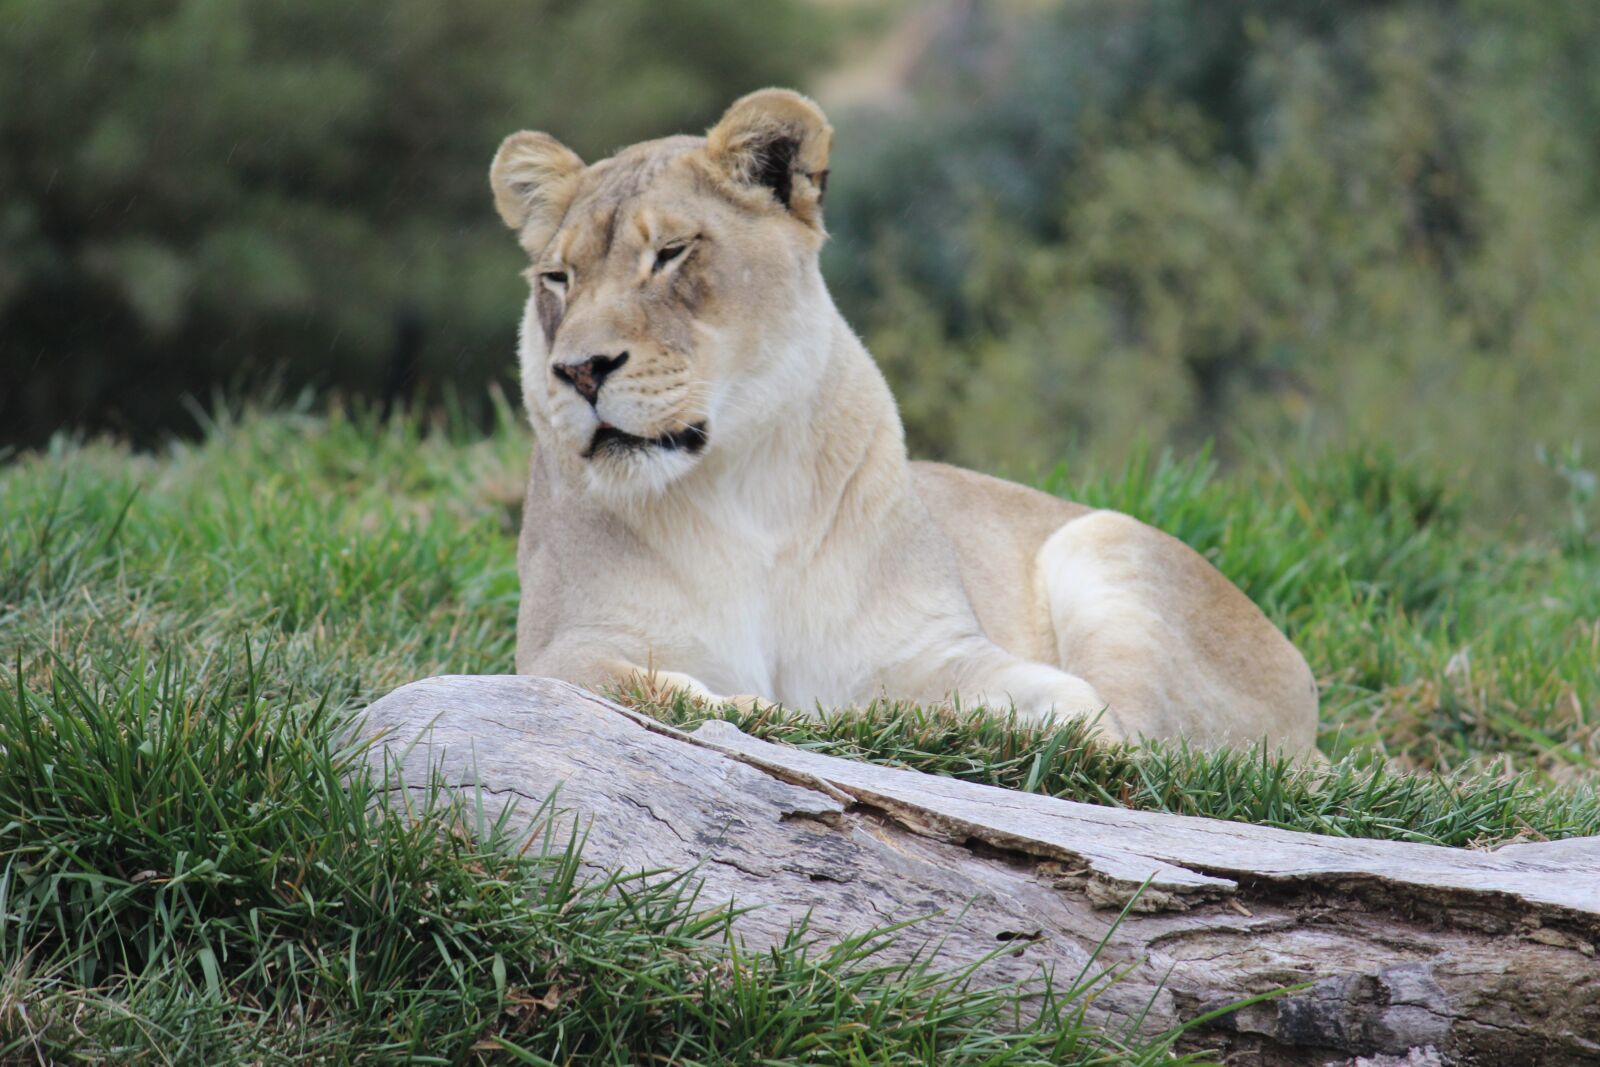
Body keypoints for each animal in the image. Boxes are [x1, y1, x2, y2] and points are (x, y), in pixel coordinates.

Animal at [489, 88, 1318, 752]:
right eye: (557, 278)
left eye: (669, 253)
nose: (579, 370)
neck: (740, 487)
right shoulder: (557, 653)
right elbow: (647, 683)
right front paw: (778, 714)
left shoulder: (933, 645)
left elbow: (1067, 702)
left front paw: (970, 727)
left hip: (1105, 542)